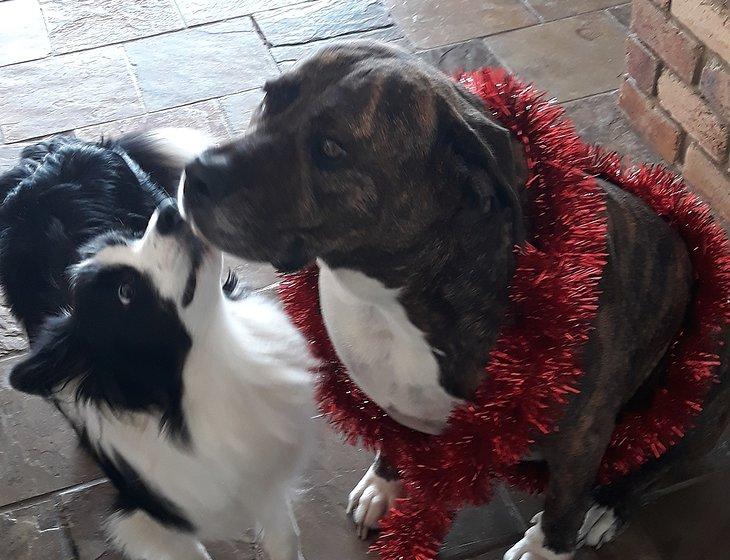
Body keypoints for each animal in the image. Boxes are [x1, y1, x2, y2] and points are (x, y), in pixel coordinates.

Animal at [0, 132, 312, 560]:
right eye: (125, 292)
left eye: (128, 238)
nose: (166, 212)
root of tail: (44, 151)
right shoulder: (144, 518)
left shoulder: (264, 478)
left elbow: (285, 538)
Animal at [178, 41, 728, 556]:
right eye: (271, 97)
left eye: (332, 149)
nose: (196, 173)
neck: (390, 300)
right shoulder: (387, 396)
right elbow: (392, 439)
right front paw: (384, 487)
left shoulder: (582, 436)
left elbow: (563, 502)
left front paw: (544, 549)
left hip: (701, 394)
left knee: (653, 461)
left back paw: (607, 507)